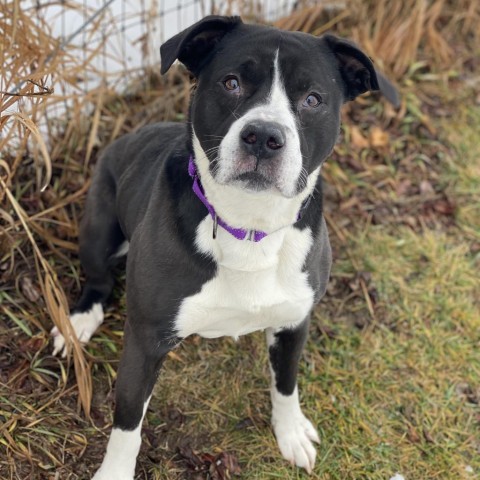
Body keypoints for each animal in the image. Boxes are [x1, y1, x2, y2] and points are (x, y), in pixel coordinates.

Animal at [50, 15, 400, 480]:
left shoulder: (295, 321)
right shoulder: (145, 340)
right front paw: (114, 473)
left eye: (312, 99)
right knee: (99, 278)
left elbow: (285, 383)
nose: (264, 136)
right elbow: (127, 421)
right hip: (98, 223)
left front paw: (290, 432)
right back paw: (79, 321)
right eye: (231, 83)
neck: (249, 225)